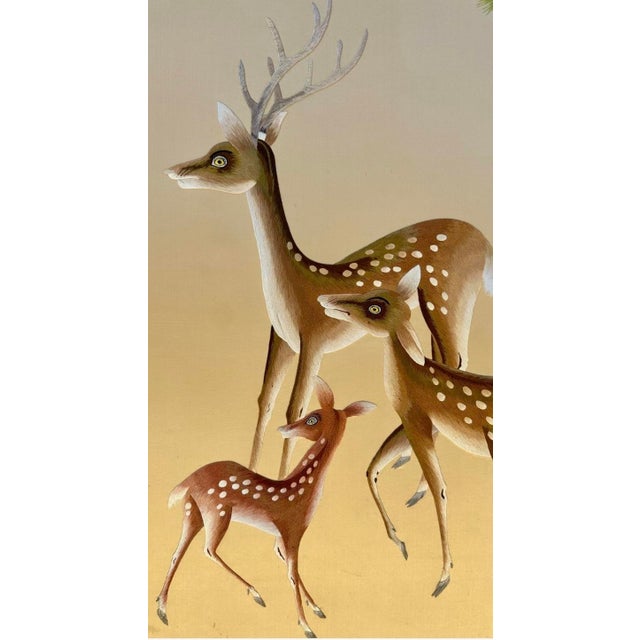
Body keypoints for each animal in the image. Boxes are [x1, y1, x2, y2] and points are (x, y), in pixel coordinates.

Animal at [155, 377, 376, 639]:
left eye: (313, 418)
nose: (284, 428)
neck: (300, 493)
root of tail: (186, 482)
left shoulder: (285, 535)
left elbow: (293, 571)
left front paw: (317, 609)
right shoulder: (291, 530)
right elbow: (292, 574)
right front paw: (306, 626)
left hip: (193, 510)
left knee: (178, 551)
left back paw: (162, 608)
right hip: (217, 510)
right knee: (208, 549)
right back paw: (256, 593)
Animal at [164, 0, 493, 480]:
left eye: (221, 157)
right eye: (214, 147)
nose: (174, 171)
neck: (291, 285)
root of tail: (487, 244)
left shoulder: (313, 338)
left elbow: (292, 408)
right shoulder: (281, 339)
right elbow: (263, 403)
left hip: (449, 300)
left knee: (457, 362)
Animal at [318, 265, 493, 598]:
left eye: (375, 307)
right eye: (372, 291)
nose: (325, 299)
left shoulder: (417, 420)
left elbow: (440, 489)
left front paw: (443, 577)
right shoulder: (419, 423)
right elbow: (373, 467)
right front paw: (400, 541)